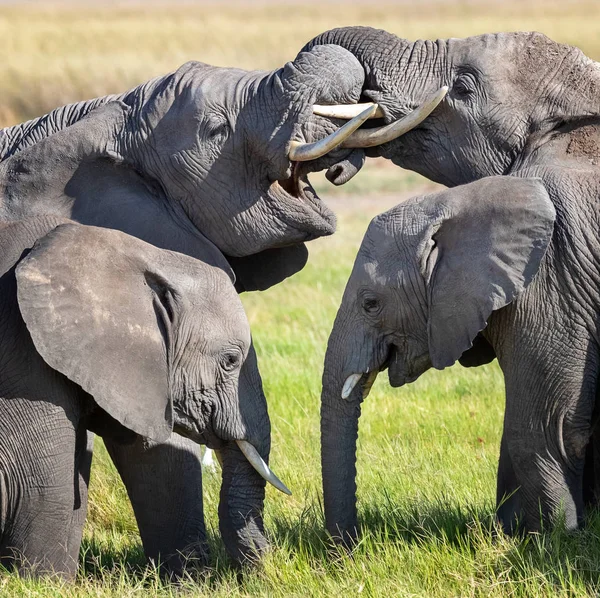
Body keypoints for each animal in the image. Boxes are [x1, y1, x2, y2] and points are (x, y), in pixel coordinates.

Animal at [318, 177, 576, 544]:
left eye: (371, 304)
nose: (352, 547)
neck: (456, 201)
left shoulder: (550, 292)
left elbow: (537, 429)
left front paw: (554, 541)